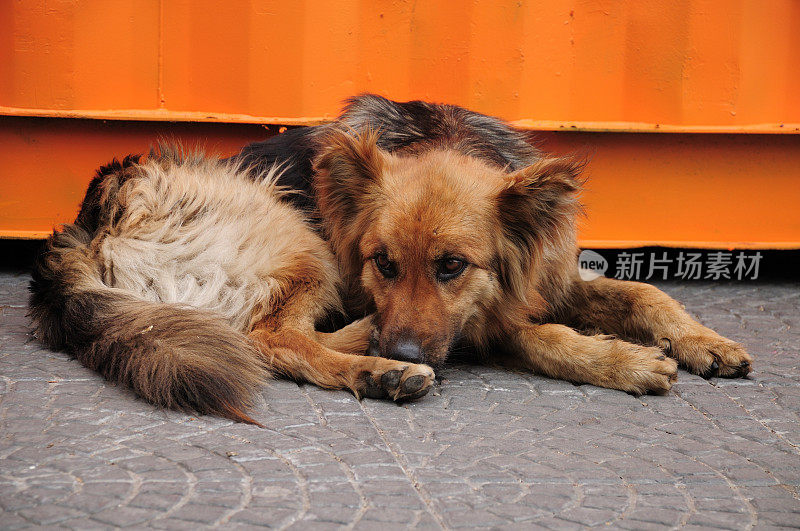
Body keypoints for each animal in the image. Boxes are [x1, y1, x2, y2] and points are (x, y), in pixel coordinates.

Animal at [234, 94, 752, 394]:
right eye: (382, 262)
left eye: (451, 265)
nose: (403, 352)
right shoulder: (487, 323)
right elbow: (543, 336)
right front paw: (624, 362)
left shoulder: (548, 278)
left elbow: (645, 292)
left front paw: (702, 339)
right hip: (313, 256)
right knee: (274, 336)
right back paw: (377, 371)